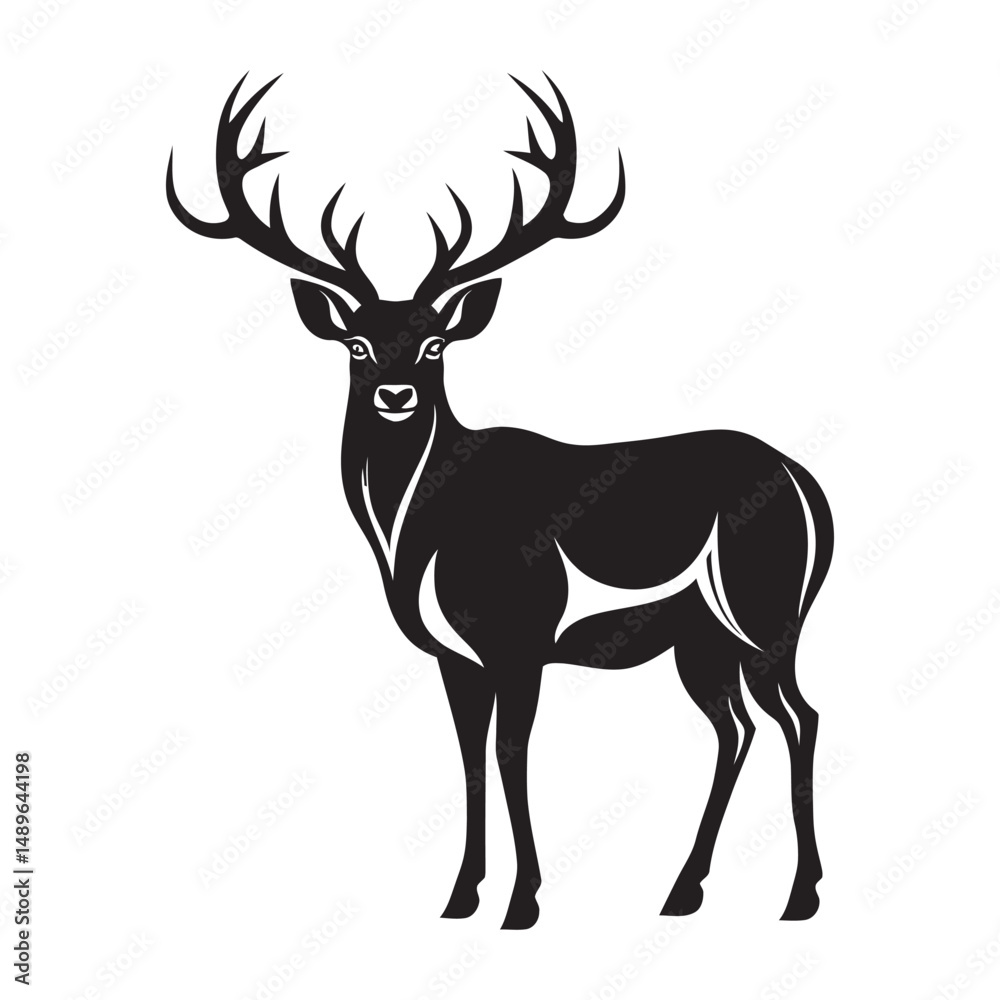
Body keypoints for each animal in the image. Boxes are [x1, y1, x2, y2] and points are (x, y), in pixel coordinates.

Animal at [166, 73, 834, 930]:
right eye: (357, 343)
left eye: (433, 343)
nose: (393, 394)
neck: (417, 530)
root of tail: (808, 485)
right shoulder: (456, 656)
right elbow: (470, 757)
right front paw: (460, 897)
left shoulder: (522, 636)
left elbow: (513, 755)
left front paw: (523, 902)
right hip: (703, 641)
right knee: (738, 728)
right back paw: (683, 891)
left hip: (765, 609)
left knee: (800, 716)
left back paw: (800, 894)